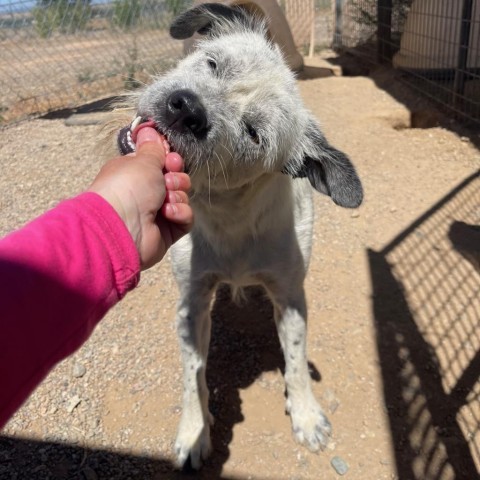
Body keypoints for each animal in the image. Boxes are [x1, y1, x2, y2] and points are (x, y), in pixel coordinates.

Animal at [115, 2, 364, 468]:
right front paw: (194, 432)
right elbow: (192, 373)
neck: (228, 216)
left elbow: (297, 361)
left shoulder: (290, 296)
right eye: (213, 64)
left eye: (253, 133)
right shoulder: (192, 301)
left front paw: (306, 415)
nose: (186, 108)